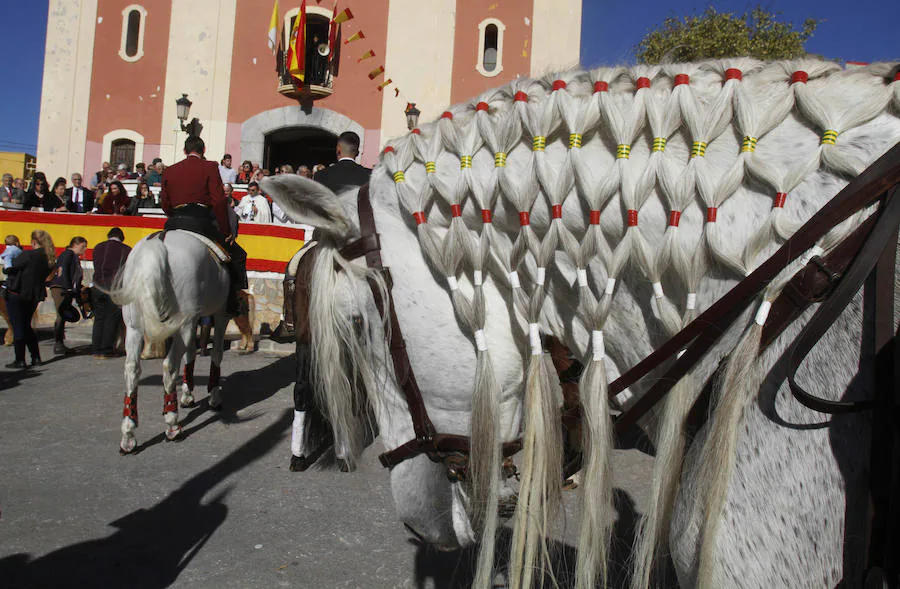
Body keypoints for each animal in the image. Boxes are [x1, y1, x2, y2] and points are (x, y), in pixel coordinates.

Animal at [109, 230, 230, 450]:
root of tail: (159, 241)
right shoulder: (220, 315)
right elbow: (216, 353)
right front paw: (214, 397)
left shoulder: (193, 321)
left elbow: (191, 355)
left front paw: (188, 395)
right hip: (184, 323)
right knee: (169, 366)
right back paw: (172, 424)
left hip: (135, 326)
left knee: (131, 369)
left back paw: (129, 434)